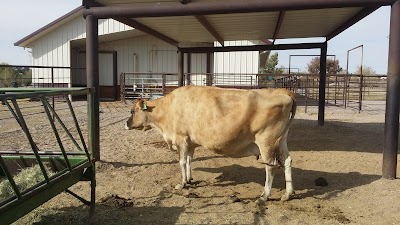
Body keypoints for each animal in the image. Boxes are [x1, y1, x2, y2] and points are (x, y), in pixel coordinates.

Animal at [125, 85, 296, 201]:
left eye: (132, 111)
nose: (125, 124)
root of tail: (283, 92)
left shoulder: (181, 138)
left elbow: (182, 162)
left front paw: (182, 183)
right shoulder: (190, 141)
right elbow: (189, 160)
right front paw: (189, 179)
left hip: (266, 141)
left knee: (271, 167)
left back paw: (264, 195)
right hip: (281, 140)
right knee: (287, 161)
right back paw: (288, 193)